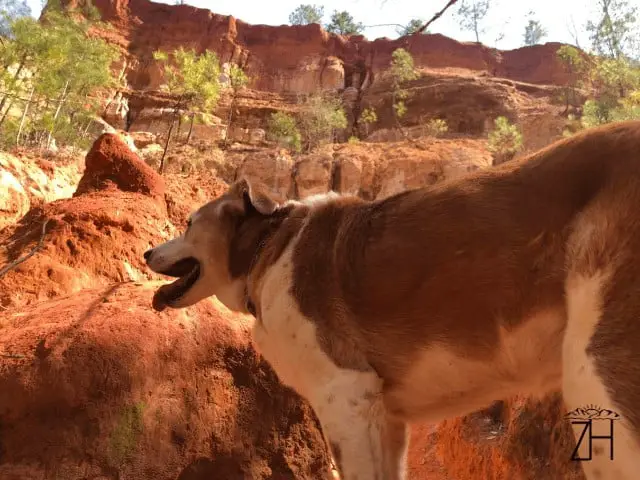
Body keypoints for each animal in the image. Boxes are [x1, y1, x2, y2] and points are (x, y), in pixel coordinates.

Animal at [144, 121, 640, 480]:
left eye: (188, 223)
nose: (147, 252)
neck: (269, 246)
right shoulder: (387, 419)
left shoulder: (346, 395)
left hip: (598, 376)